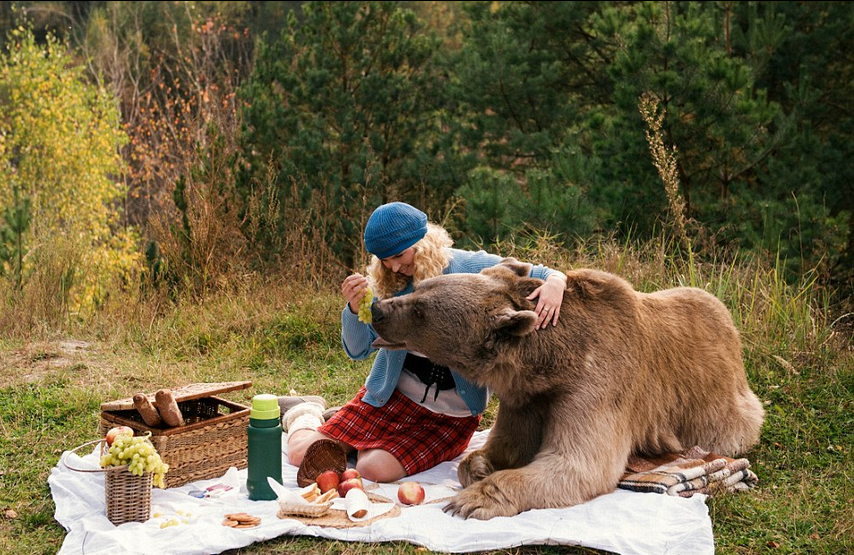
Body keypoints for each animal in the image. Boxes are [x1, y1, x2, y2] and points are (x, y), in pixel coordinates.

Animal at [372, 260, 764, 520]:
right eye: (418, 290)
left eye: (420, 309)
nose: (378, 309)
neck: (549, 365)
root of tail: (730, 321)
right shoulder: (524, 397)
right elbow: (507, 443)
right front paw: (481, 466)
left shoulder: (595, 384)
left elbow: (578, 463)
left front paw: (473, 498)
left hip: (723, 408)